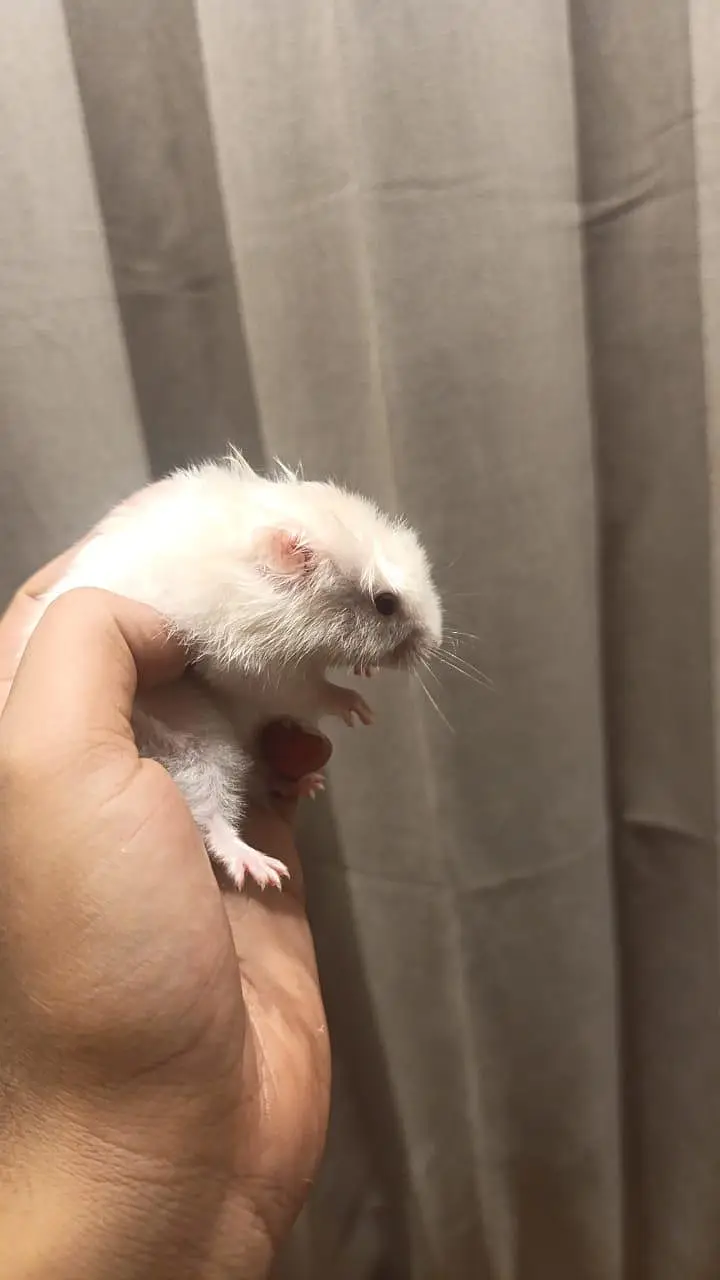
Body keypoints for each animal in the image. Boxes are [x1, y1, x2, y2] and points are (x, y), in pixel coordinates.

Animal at [37, 452, 443, 891]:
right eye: (385, 603)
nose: (437, 642)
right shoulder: (260, 670)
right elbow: (316, 692)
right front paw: (361, 710)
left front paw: (364, 673)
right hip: (196, 742)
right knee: (210, 818)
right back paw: (264, 870)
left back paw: (306, 785)